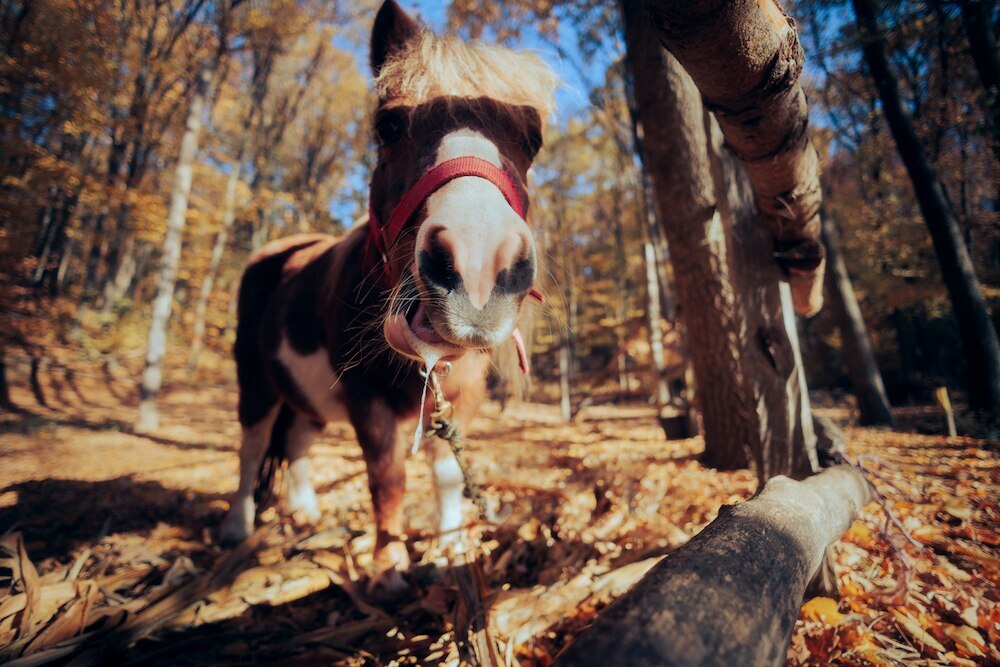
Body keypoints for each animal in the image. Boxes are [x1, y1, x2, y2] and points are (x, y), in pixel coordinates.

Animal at [219, 0, 558, 586]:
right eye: (390, 125)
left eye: (532, 139)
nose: (478, 267)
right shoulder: (366, 400)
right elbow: (387, 476)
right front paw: (387, 566)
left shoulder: (461, 399)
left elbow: (446, 473)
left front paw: (450, 549)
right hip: (256, 381)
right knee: (254, 444)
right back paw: (238, 528)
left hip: (305, 396)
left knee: (297, 439)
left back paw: (304, 513)